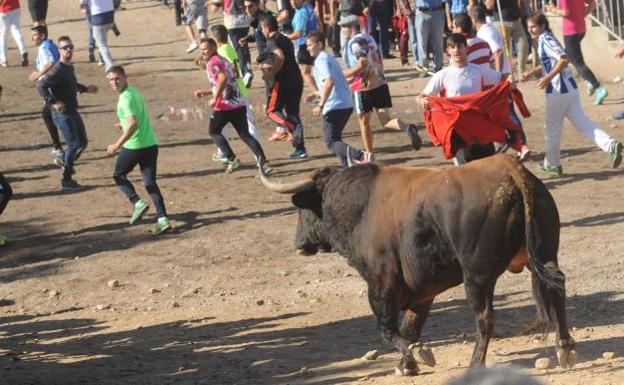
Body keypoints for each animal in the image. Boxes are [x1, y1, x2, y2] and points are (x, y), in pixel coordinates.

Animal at [258, 154, 576, 376]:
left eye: (302, 210)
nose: (299, 243)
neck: (363, 207)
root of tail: (511, 169)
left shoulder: (381, 283)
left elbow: (387, 328)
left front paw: (410, 361)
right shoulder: (422, 290)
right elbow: (410, 326)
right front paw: (411, 358)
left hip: (476, 275)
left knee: (485, 317)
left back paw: (476, 363)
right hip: (545, 255)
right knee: (557, 293)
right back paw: (565, 349)